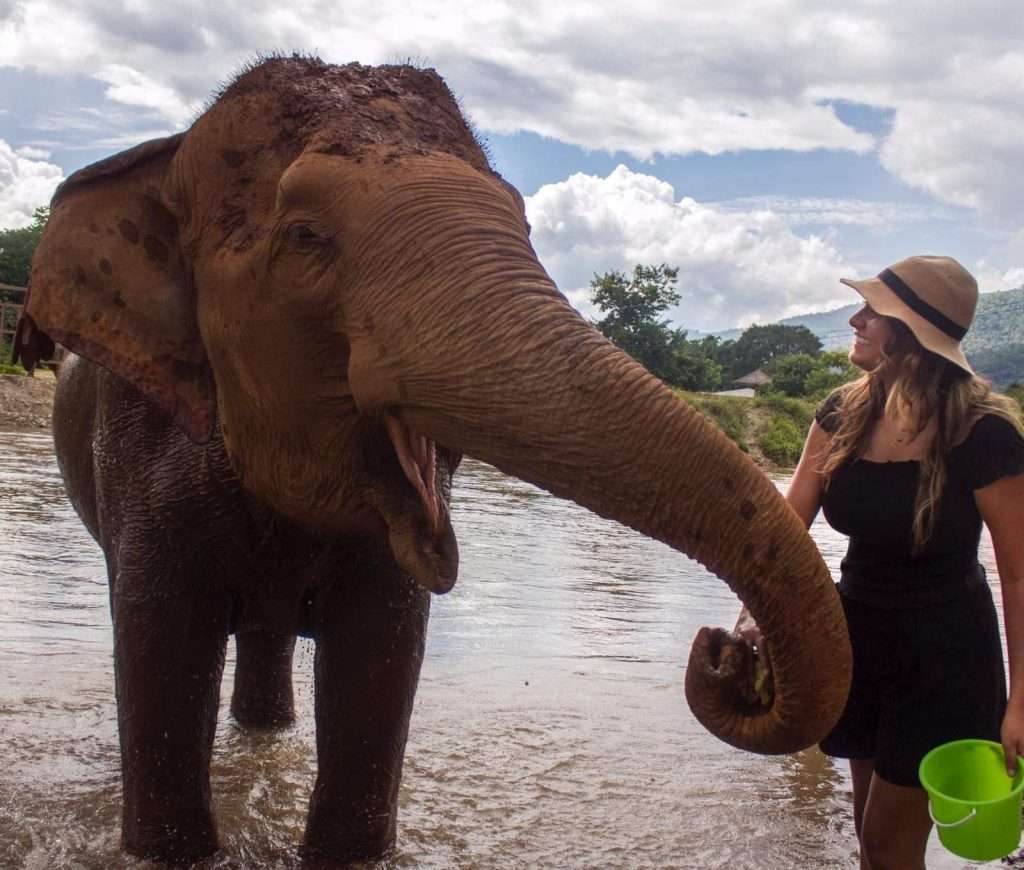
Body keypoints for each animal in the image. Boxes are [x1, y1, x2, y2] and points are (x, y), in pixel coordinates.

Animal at [13, 55, 851, 865]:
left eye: (523, 222)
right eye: (305, 236)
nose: (727, 650)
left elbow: (378, 657)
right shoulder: (139, 450)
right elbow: (161, 646)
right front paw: (168, 852)